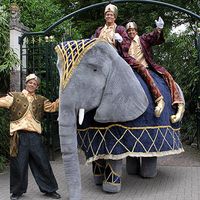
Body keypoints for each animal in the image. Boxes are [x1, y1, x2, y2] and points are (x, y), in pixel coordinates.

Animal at [55, 38, 184, 199]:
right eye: (58, 71)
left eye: (95, 70)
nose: (70, 197)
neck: (117, 59)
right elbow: (95, 148)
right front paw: (98, 182)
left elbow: (113, 152)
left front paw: (110, 189)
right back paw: (133, 173)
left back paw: (148, 176)